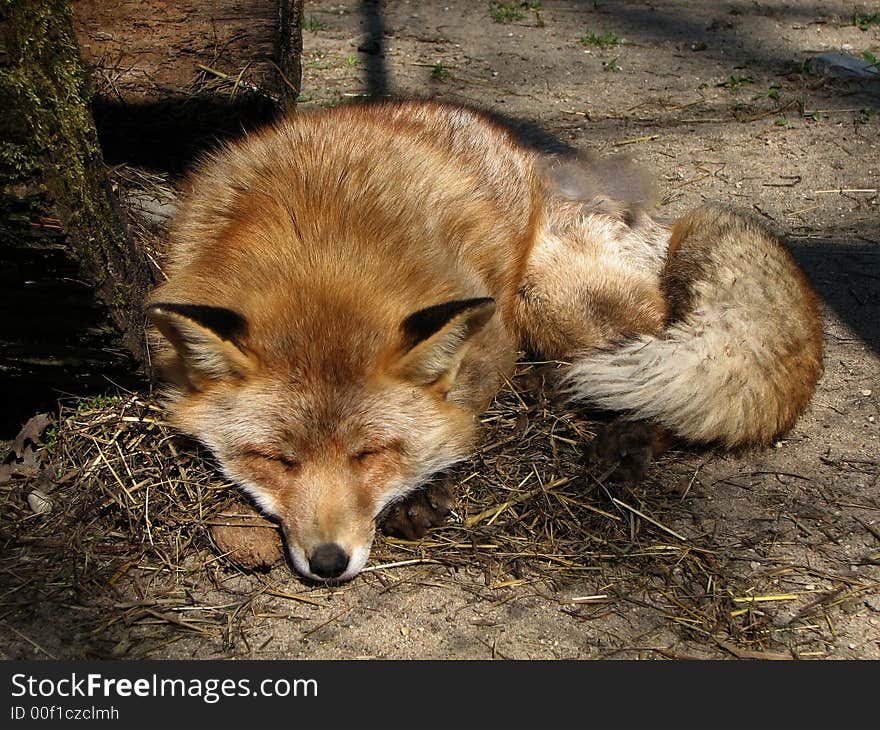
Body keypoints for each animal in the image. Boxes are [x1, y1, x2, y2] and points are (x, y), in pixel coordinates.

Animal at [146, 101, 824, 580]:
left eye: (369, 455)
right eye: (278, 461)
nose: (329, 562)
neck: (319, 233)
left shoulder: (486, 330)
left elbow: (458, 412)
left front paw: (424, 486)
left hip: (549, 298)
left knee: (647, 366)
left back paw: (621, 443)